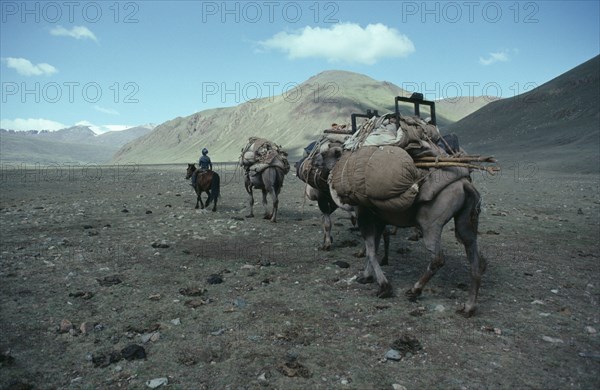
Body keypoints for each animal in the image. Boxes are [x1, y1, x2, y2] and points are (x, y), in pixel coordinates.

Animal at [322, 146, 486, 316]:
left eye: (330, 154)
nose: (320, 162)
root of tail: (465, 185)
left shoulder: (365, 216)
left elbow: (371, 251)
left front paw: (384, 287)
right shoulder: (379, 219)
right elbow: (374, 247)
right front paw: (366, 277)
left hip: (430, 224)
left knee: (438, 258)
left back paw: (414, 290)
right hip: (466, 222)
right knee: (475, 257)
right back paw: (468, 307)